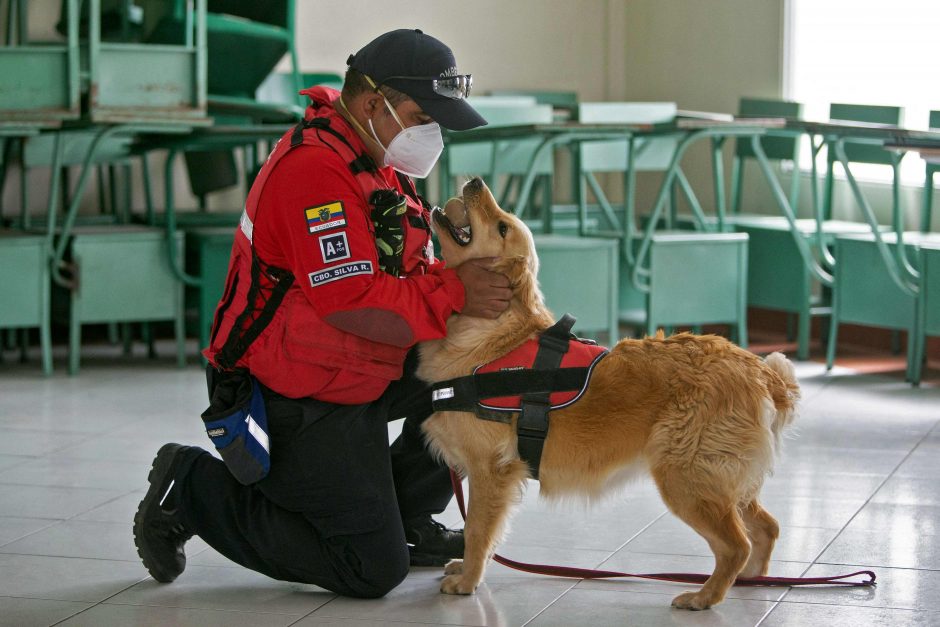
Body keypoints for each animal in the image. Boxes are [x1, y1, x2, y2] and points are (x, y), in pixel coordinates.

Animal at [422, 177, 796, 608]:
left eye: (502, 226)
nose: (476, 181)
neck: (492, 334)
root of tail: (760, 371)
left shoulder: (491, 470)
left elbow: (478, 530)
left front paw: (468, 580)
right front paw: (465, 568)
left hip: (686, 478)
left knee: (736, 544)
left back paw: (704, 596)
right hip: (724, 478)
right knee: (766, 528)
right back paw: (751, 582)